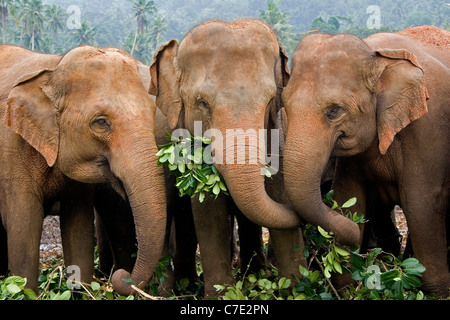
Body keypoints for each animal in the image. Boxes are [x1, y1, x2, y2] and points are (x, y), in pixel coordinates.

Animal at [0, 44, 167, 296]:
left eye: (151, 114)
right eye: (101, 122)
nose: (120, 275)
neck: (54, 68)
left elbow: (78, 230)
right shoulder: (11, 152)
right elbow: (24, 231)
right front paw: (22, 291)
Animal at [149, 18, 308, 296]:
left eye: (270, 100)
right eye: (203, 103)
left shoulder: (278, 130)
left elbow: (279, 192)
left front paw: (296, 288)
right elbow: (208, 214)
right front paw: (222, 294)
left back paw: (256, 275)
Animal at [284, 26, 448, 296]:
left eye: (334, 111)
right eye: (285, 106)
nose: (355, 233)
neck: (378, 56)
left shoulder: (428, 131)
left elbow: (421, 203)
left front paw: (437, 293)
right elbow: (348, 196)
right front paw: (350, 287)